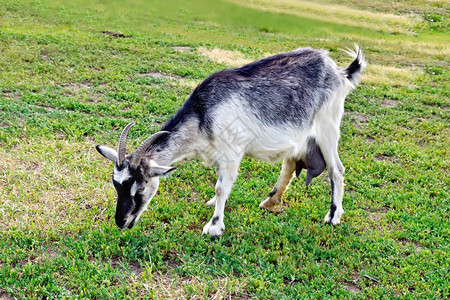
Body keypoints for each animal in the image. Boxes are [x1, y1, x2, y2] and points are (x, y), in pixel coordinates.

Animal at [96, 45, 366, 236]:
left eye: (140, 188)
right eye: (116, 186)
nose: (121, 222)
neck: (202, 115)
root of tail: (339, 72)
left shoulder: (232, 153)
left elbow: (221, 186)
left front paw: (214, 227)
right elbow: (219, 185)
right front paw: (213, 203)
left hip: (328, 126)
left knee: (337, 170)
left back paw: (333, 217)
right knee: (289, 164)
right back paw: (270, 201)